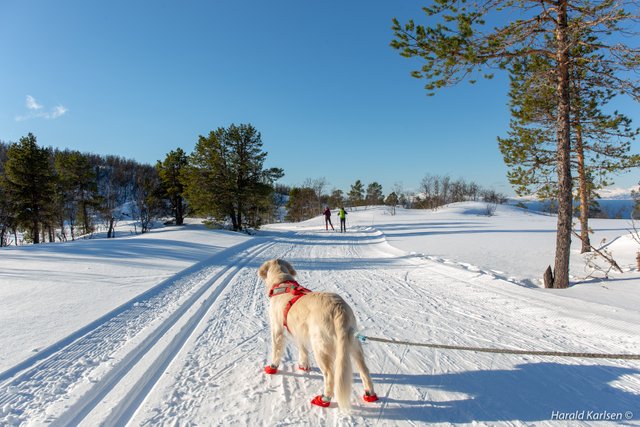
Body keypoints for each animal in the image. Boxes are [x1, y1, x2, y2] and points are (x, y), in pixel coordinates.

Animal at [256, 258, 378, 412]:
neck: (282, 282)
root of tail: (339, 308)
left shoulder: (277, 329)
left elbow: (276, 351)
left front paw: (272, 367)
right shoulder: (298, 330)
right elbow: (302, 349)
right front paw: (303, 365)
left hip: (321, 347)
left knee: (330, 375)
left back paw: (324, 399)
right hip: (354, 344)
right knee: (364, 370)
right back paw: (370, 394)